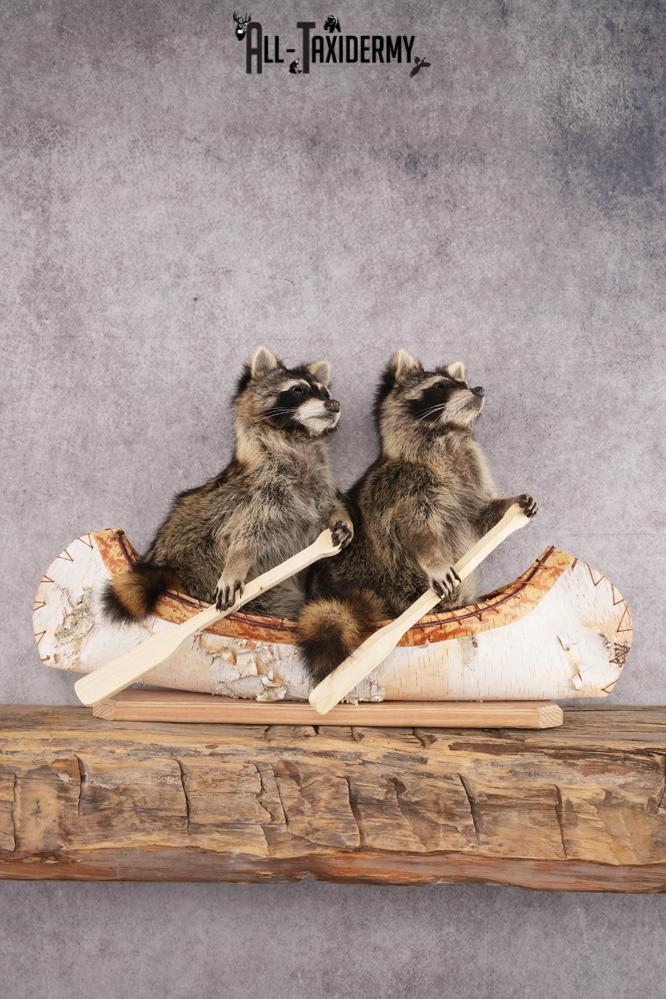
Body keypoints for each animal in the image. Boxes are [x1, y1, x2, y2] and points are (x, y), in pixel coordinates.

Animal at [103, 346, 353, 624]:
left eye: (325, 392)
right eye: (298, 390)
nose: (334, 404)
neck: (295, 437)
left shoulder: (318, 483)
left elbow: (328, 503)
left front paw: (340, 517)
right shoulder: (259, 492)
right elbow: (247, 535)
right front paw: (236, 563)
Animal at [297, 349, 538, 683]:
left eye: (465, 383)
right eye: (441, 386)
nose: (479, 390)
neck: (446, 435)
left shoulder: (470, 477)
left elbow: (482, 517)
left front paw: (511, 504)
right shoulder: (401, 486)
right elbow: (415, 530)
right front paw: (434, 560)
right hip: (390, 583)